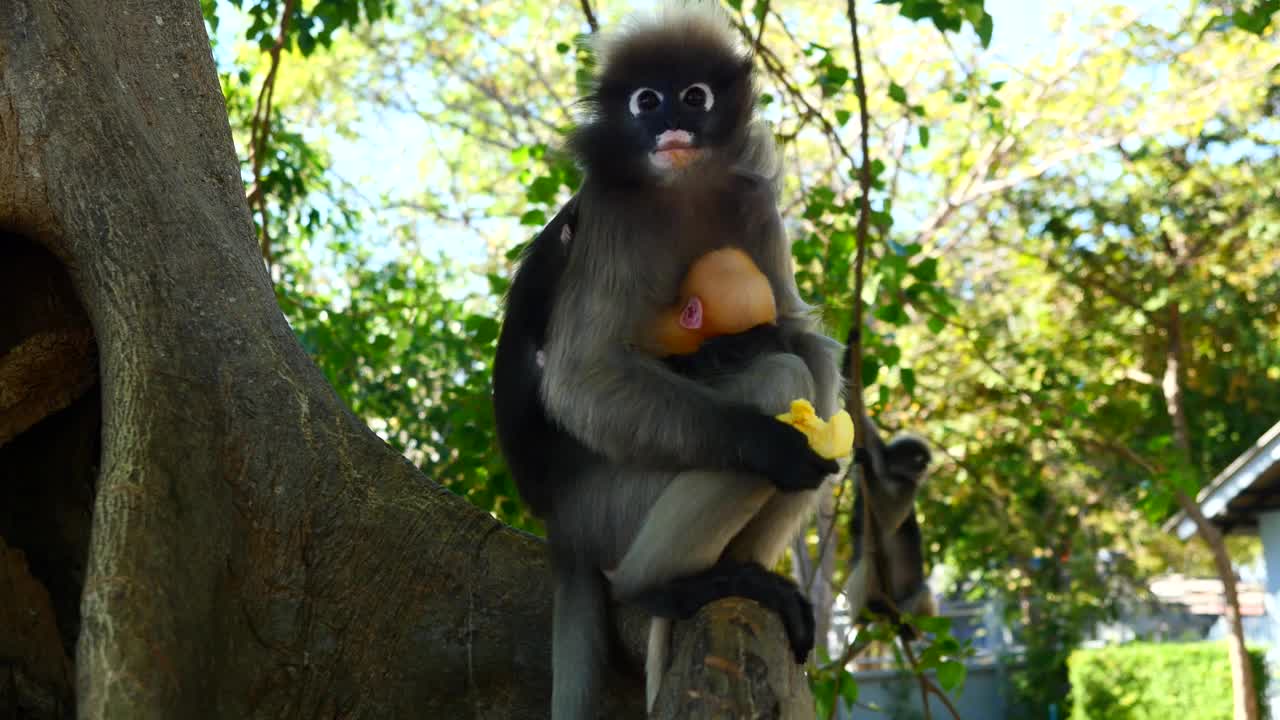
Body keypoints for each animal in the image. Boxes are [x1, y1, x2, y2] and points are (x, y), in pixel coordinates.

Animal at [494, 1, 844, 712]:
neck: (683, 185)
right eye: (646, 101)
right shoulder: (611, 216)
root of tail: (560, 526)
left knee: (811, 365)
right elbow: (582, 377)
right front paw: (772, 443)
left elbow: (798, 329)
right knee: (781, 377)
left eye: (695, 96)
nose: (671, 125)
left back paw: (741, 575)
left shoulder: (755, 201)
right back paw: (656, 586)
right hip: (612, 504)